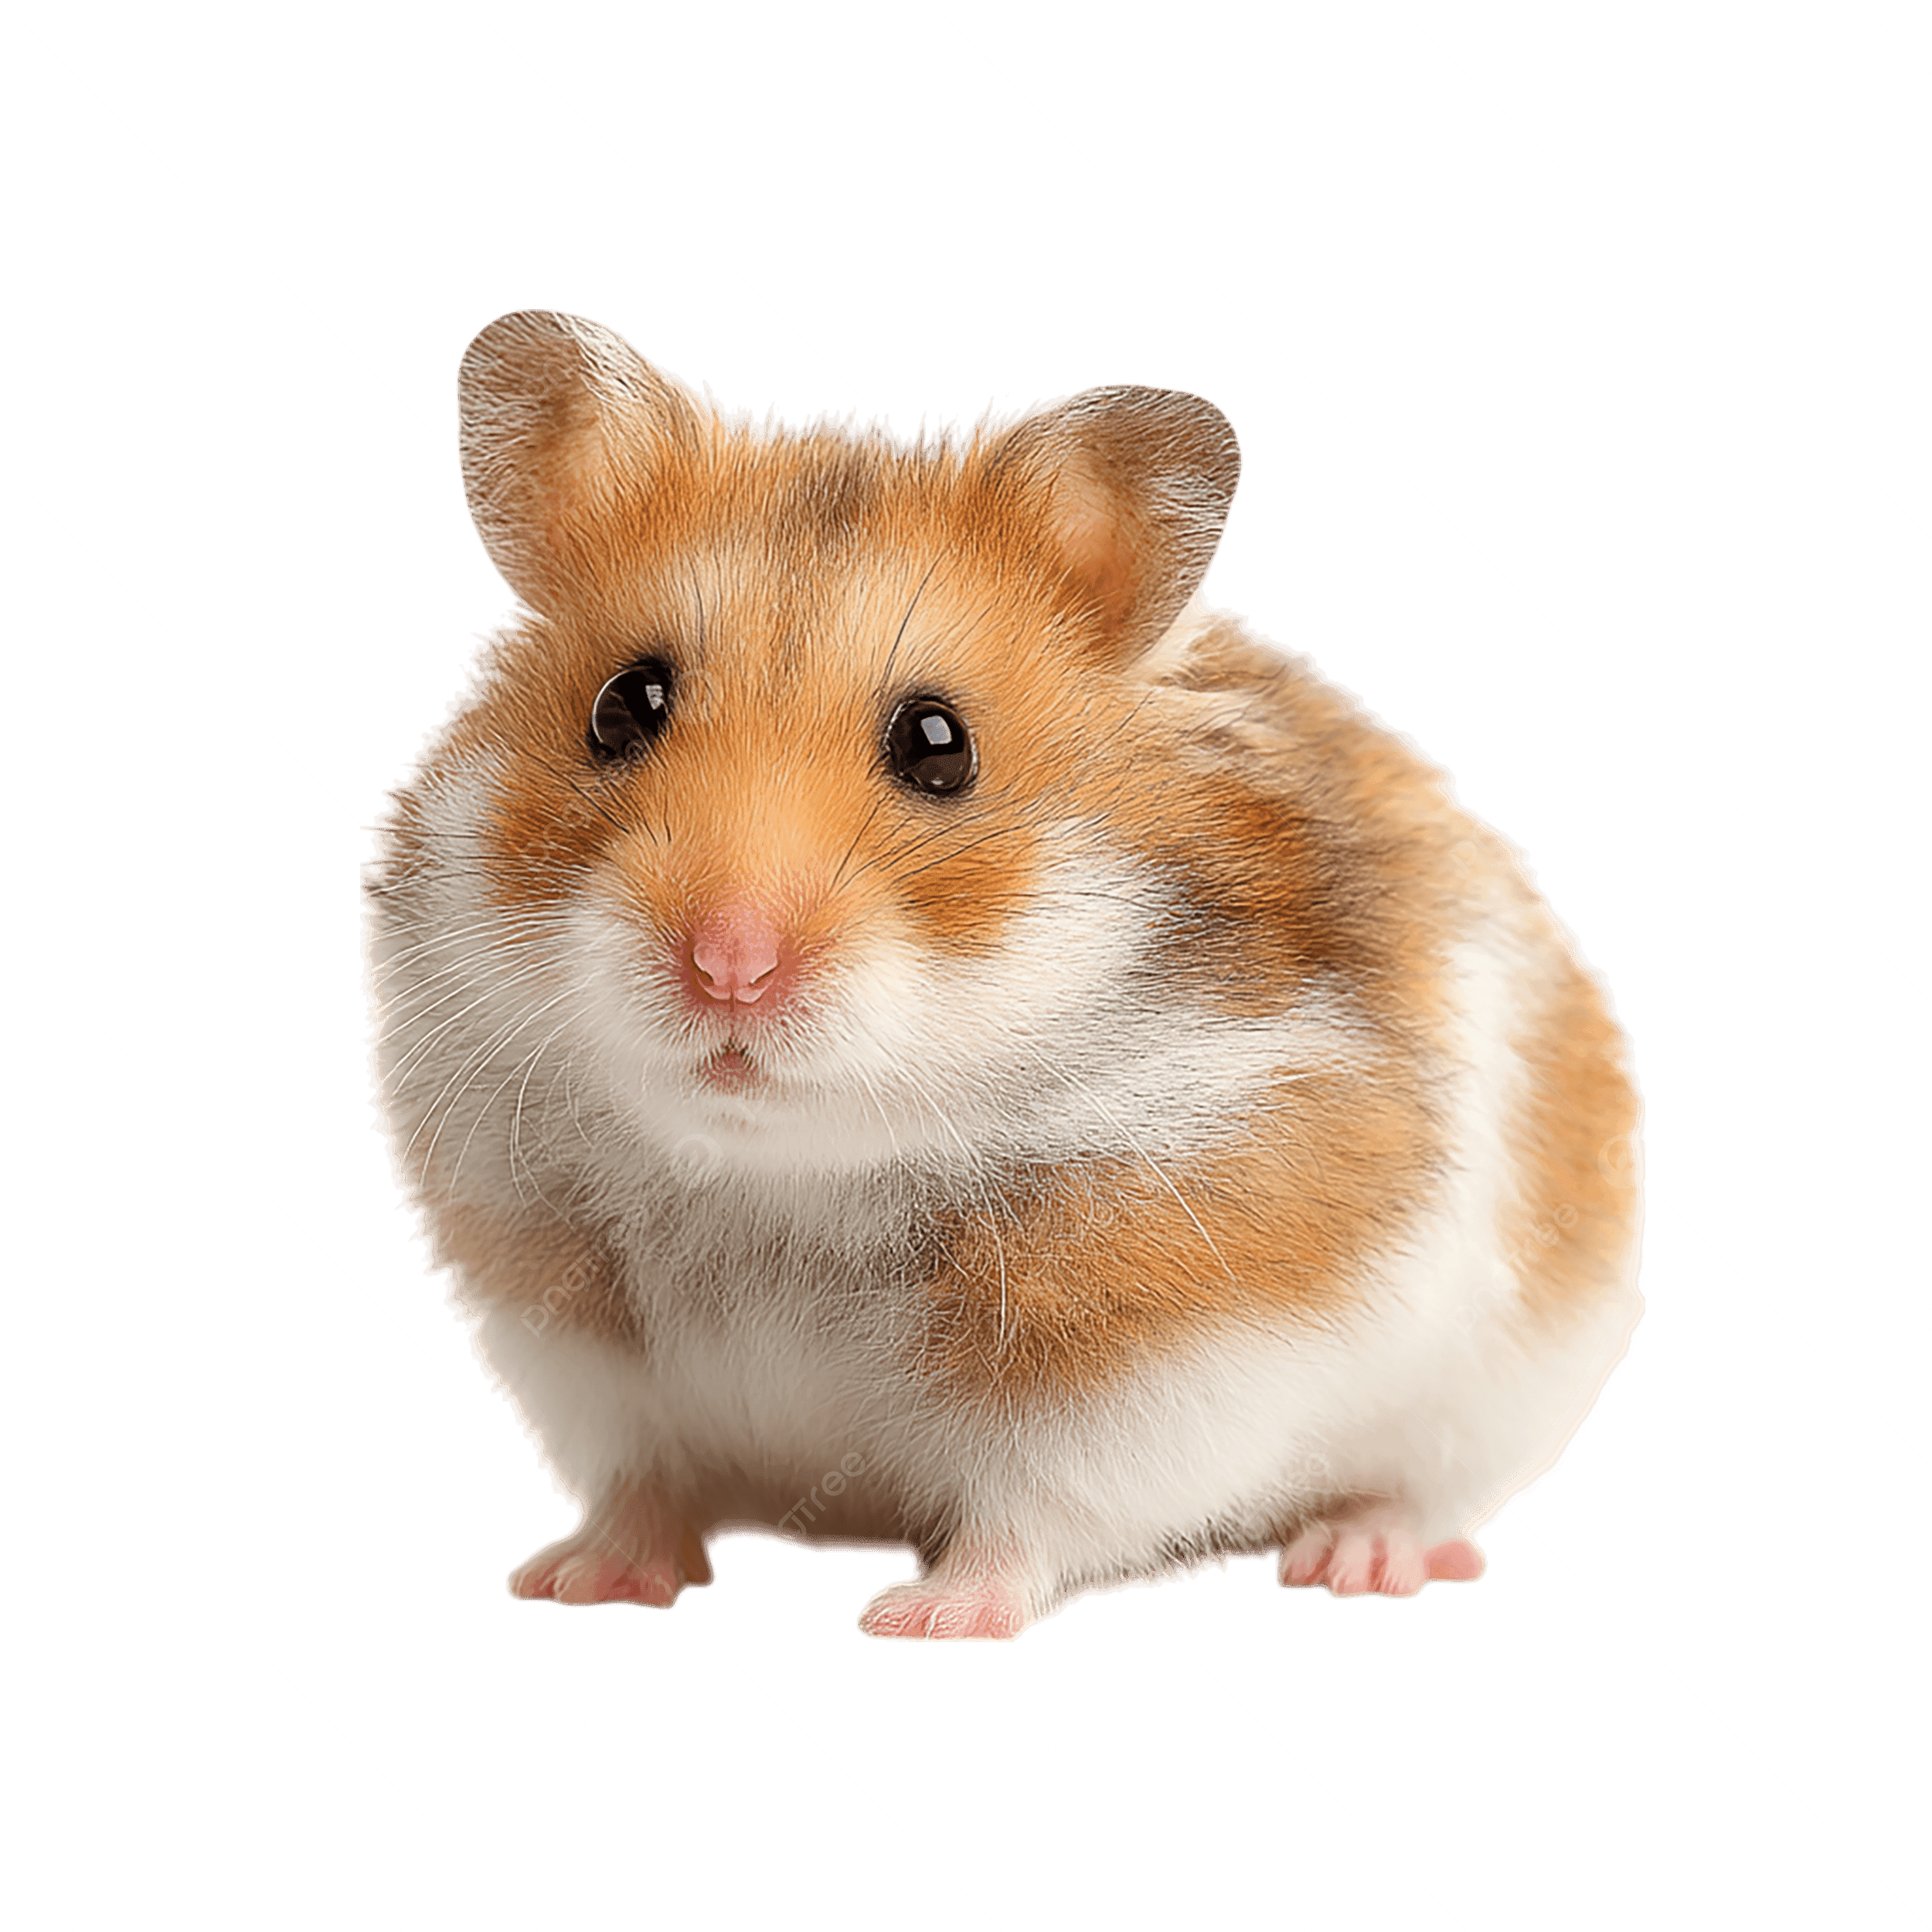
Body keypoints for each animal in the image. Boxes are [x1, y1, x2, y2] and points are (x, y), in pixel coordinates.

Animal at [361, 308, 1645, 1641]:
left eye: (940, 745)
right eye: (625, 703)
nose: (729, 966)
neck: (786, 1176)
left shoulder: (1167, 1342)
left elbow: (1038, 1510)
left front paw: (919, 1619)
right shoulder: (574, 1339)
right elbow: (640, 1479)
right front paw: (572, 1583)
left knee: (1437, 1494)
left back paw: (1356, 1559)